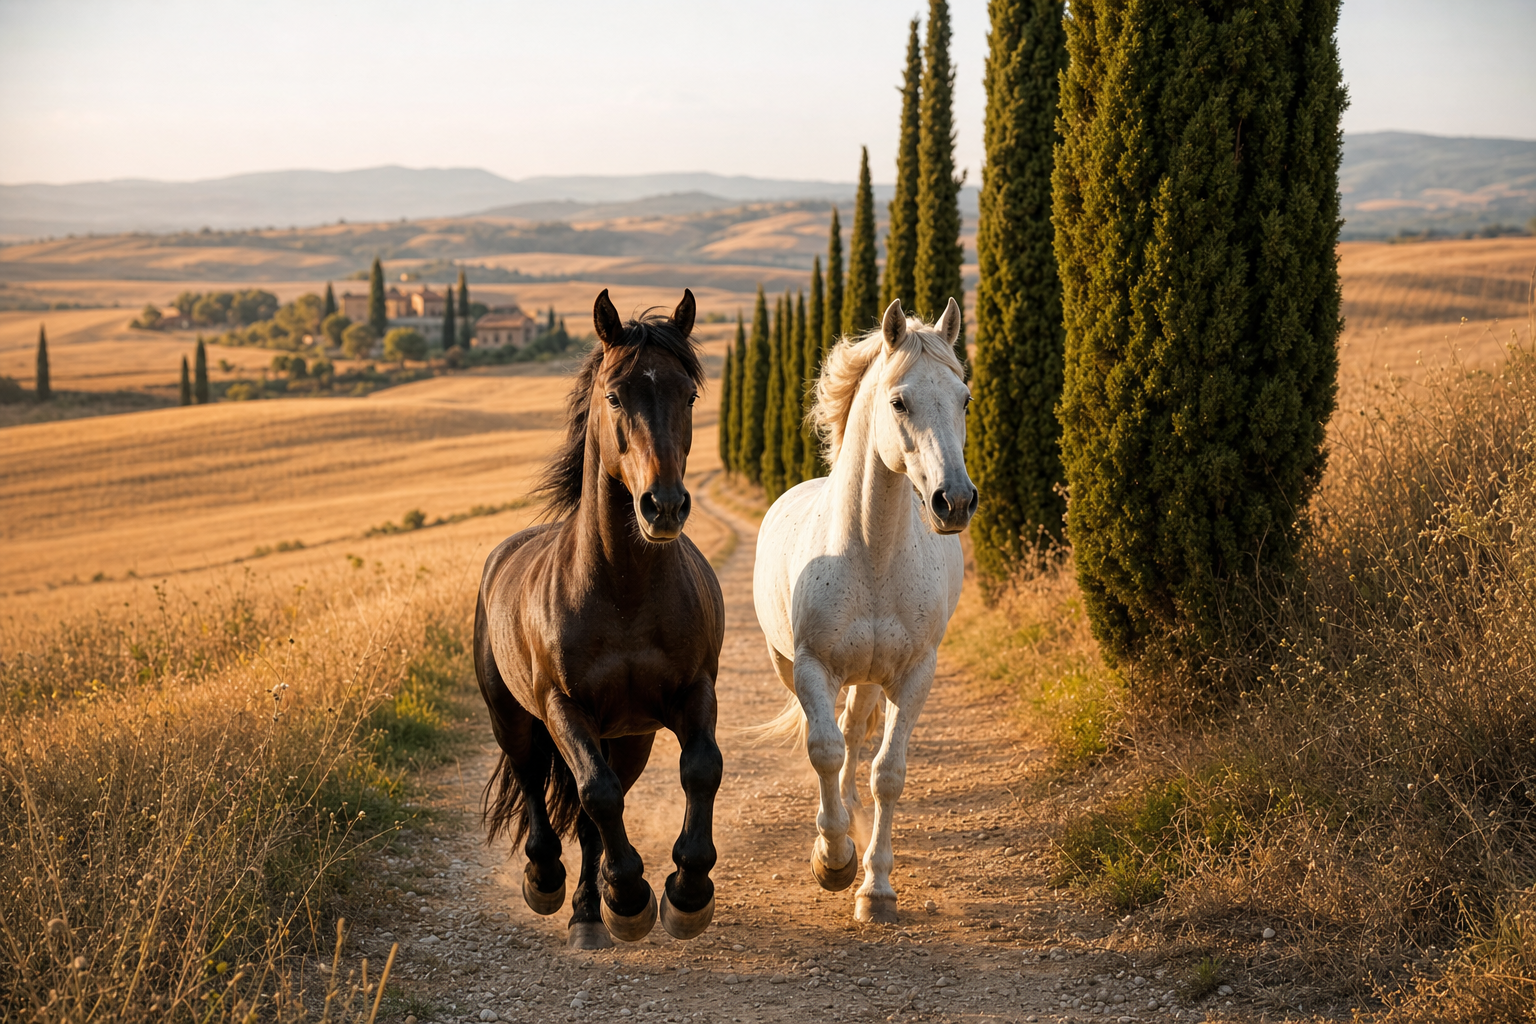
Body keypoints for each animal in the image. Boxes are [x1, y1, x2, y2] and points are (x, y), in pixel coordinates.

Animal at [475, 288, 725, 950]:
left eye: (688, 395)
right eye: (614, 396)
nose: (663, 506)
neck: (623, 592)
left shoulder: (693, 693)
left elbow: (701, 770)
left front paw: (684, 892)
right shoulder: (563, 708)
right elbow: (595, 794)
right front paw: (632, 893)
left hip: (630, 737)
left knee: (591, 815)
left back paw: (592, 911)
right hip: (516, 719)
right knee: (537, 784)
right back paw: (549, 882)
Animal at [752, 297, 976, 924]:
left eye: (965, 399)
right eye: (899, 401)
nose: (955, 501)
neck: (871, 554)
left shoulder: (914, 674)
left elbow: (887, 774)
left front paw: (875, 888)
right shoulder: (811, 668)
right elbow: (823, 750)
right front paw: (832, 860)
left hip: (871, 677)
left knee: (855, 735)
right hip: (790, 665)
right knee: (831, 738)